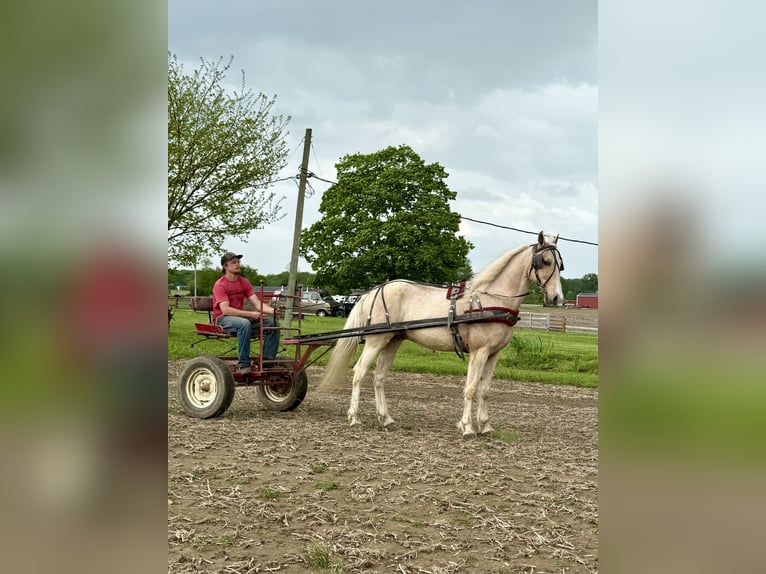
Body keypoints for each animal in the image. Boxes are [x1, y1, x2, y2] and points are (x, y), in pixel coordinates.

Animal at [319, 231, 565, 437]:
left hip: (392, 341)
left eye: (560, 265)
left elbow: (485, 390)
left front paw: (485, 426)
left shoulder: (493, 354)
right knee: (359, 372)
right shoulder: (479, 352)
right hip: (375, 340)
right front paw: (468, 427)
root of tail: (372, 291)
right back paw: (354, 417)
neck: (492, 299)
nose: (556, 299)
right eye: (545, 261)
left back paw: (386, 418)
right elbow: (471, 388)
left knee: (379, 378)